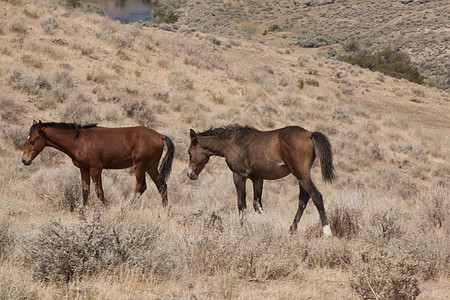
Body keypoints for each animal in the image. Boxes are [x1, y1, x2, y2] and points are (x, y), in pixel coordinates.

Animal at [22, 120, 174, 211]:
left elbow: (99, 192)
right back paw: (166, 210)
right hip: (151, 166)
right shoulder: (84, 169)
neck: (78, 141)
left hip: (140, 166)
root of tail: (160, 135)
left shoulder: (96, 169)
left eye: (33, 141)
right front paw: (84, 212)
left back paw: (125, 208)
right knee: (162, 186)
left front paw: (107, 209)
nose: (24, 160)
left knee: (141, 187)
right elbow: (85, 191)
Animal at [185, 124, 334, 237]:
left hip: (301, 175)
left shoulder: (239, 176)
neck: (232, 142)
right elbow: (257, 205)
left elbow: (241, 204)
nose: (190, 174)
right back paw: (291, 230)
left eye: (189, 152)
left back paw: (327, 232)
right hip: (301, 177)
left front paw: (243, 229)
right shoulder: (257, 179)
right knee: (303, 199)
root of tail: (310, 134)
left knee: (316, 196)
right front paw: (270, 224)